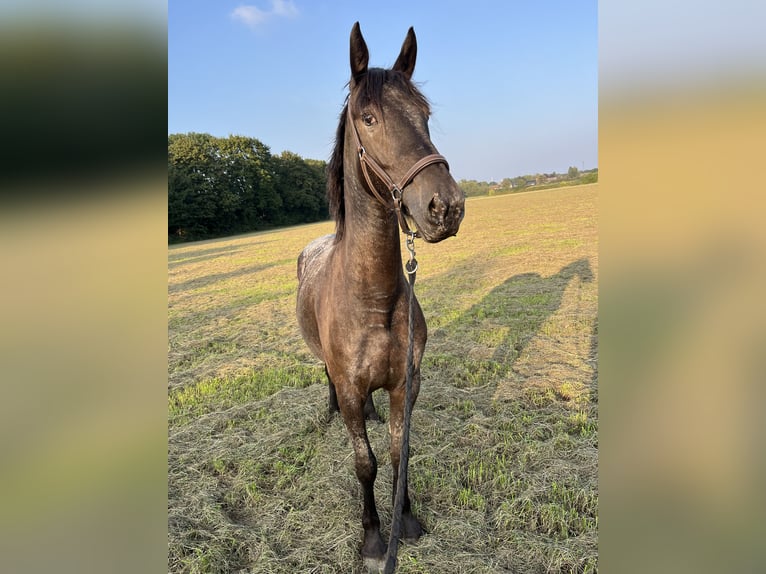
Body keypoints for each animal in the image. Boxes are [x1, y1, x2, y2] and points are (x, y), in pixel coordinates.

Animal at [296, 22, 464, 572]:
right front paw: (373, 535)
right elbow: (364, 462)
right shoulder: (351, 386)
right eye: (368, 119)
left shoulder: (405, 383)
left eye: (425, 116)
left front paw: (404, 519)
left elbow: (398, 453)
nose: (445, 206)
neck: (373, 298)